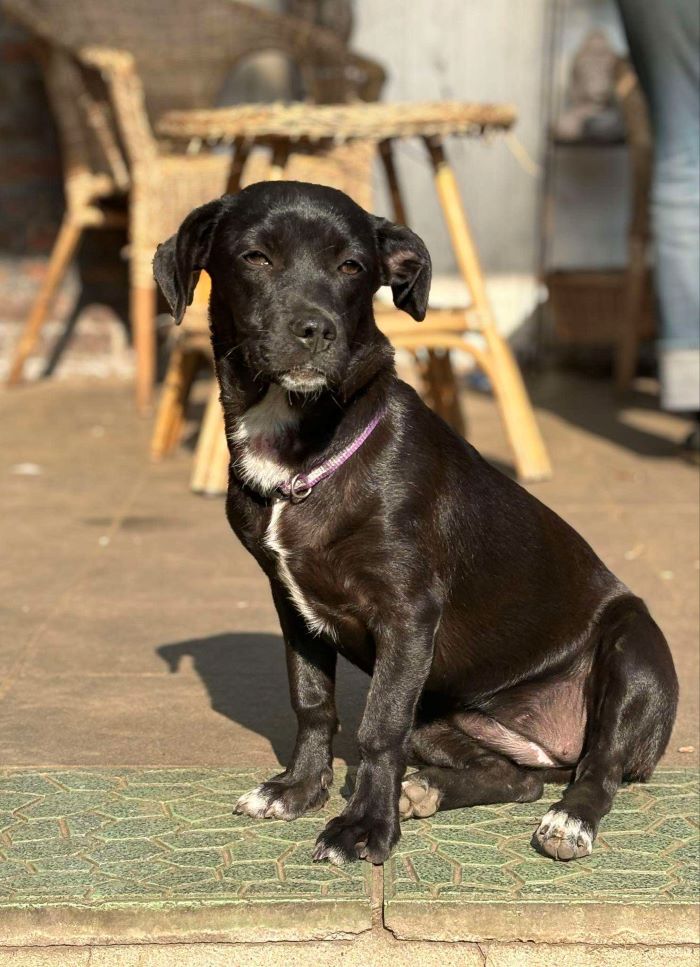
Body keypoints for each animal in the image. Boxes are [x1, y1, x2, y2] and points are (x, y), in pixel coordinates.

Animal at [154, 185, 680, 864]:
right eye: (256, 257)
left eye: (352, 266)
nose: (315, 330)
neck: (306, 447)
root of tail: (555, 745)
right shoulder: (291, 604)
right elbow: (312, 702)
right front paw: (299, 790)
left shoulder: (407, 614)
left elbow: (379, 729)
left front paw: (362, 827)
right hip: (439, 711)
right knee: (519, 779)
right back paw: (429, 789)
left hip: (630, 648)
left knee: (601, 764)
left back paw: (571, 820)